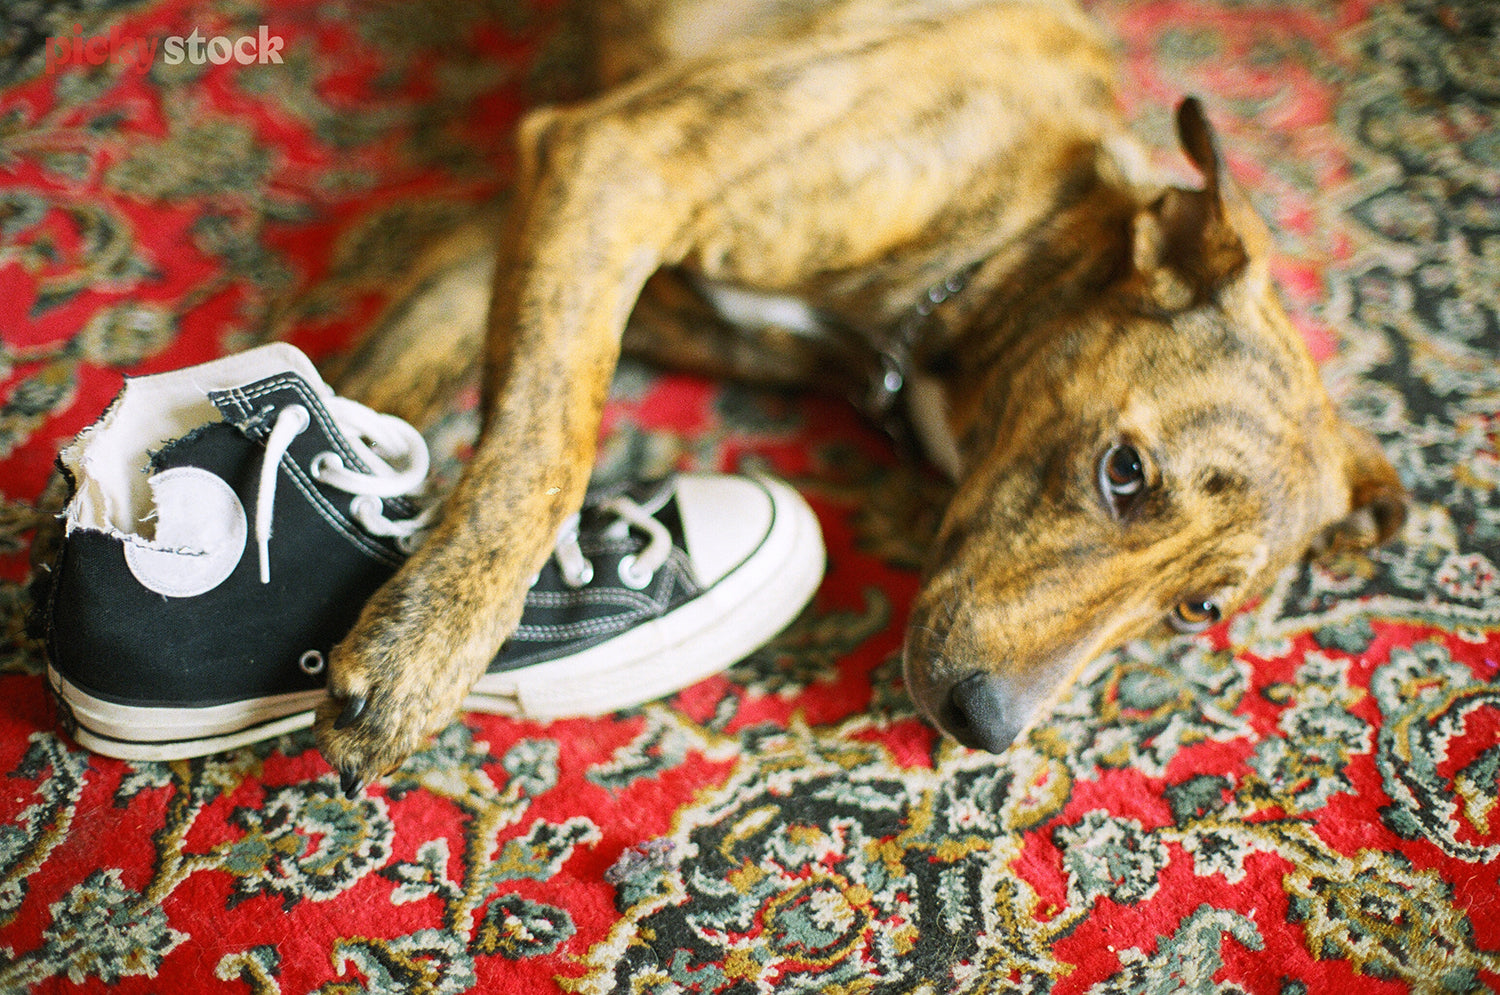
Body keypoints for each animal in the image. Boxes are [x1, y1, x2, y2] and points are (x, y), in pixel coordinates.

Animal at [313, 1, 1404, 792]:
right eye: (1124, 472)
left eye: (1198, 609)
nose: (985, 725)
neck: (1013, 228)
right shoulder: (612, 166)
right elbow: (547, 443)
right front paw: (424, 650)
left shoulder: (511, 239)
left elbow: (390, 393)